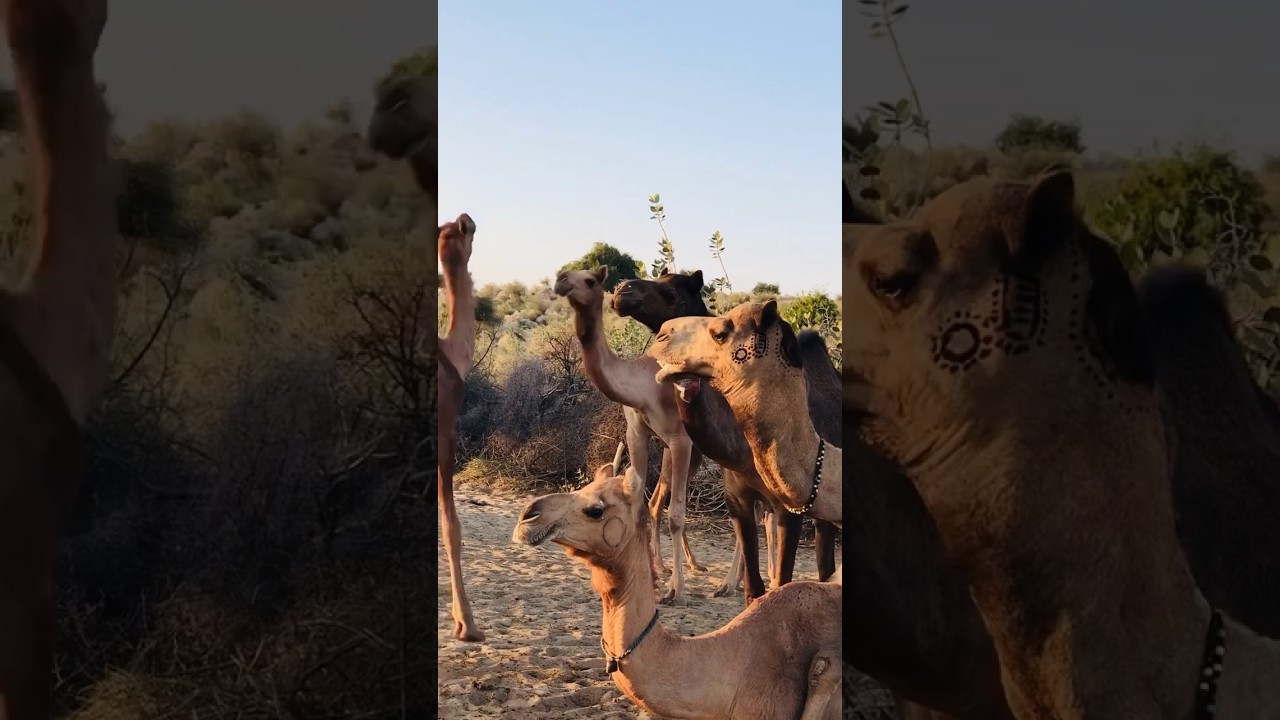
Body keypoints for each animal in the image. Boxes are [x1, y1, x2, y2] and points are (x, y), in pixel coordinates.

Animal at [553, 266, 701, 605]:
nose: (561, 280)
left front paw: (676, 589)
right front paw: (654, 580)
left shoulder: (681, 439)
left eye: (590, 280)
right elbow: (643, 506)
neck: (644, 385)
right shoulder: (637, 434)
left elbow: (676, 514)